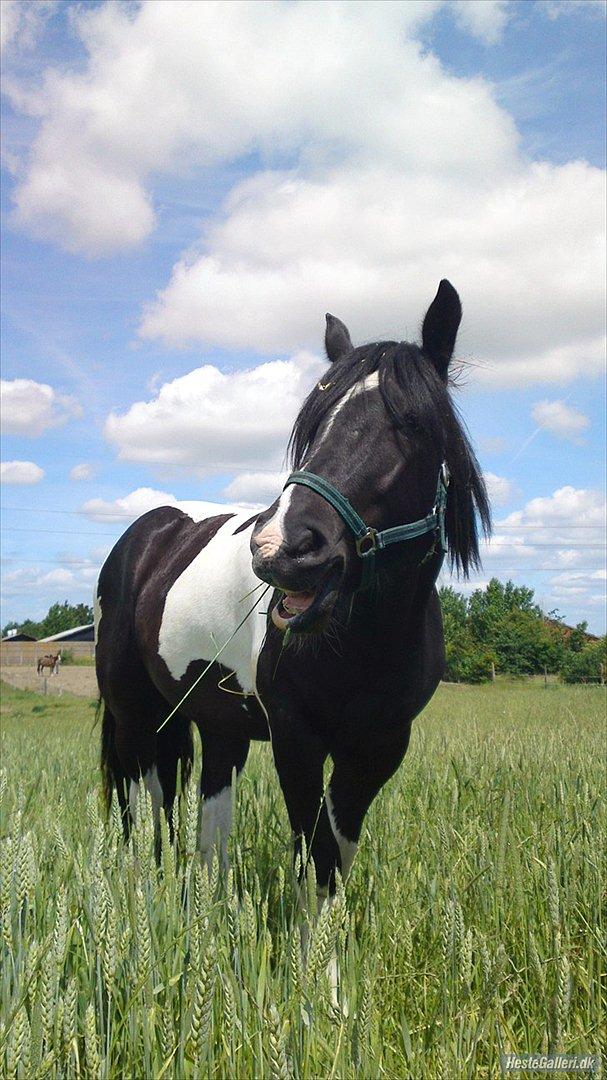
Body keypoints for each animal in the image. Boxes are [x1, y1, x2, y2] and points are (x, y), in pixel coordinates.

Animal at [96, 278, 488, 894]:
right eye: (314, 425)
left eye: (412, 423)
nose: (280, 548)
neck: (364, 643)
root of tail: (150, 532)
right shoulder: (295, 740)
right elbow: (312, 856)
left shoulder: (378, 748)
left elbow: (333, 858)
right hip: (135, 714)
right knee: (143, 811)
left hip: (214, 723)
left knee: (205, 829)